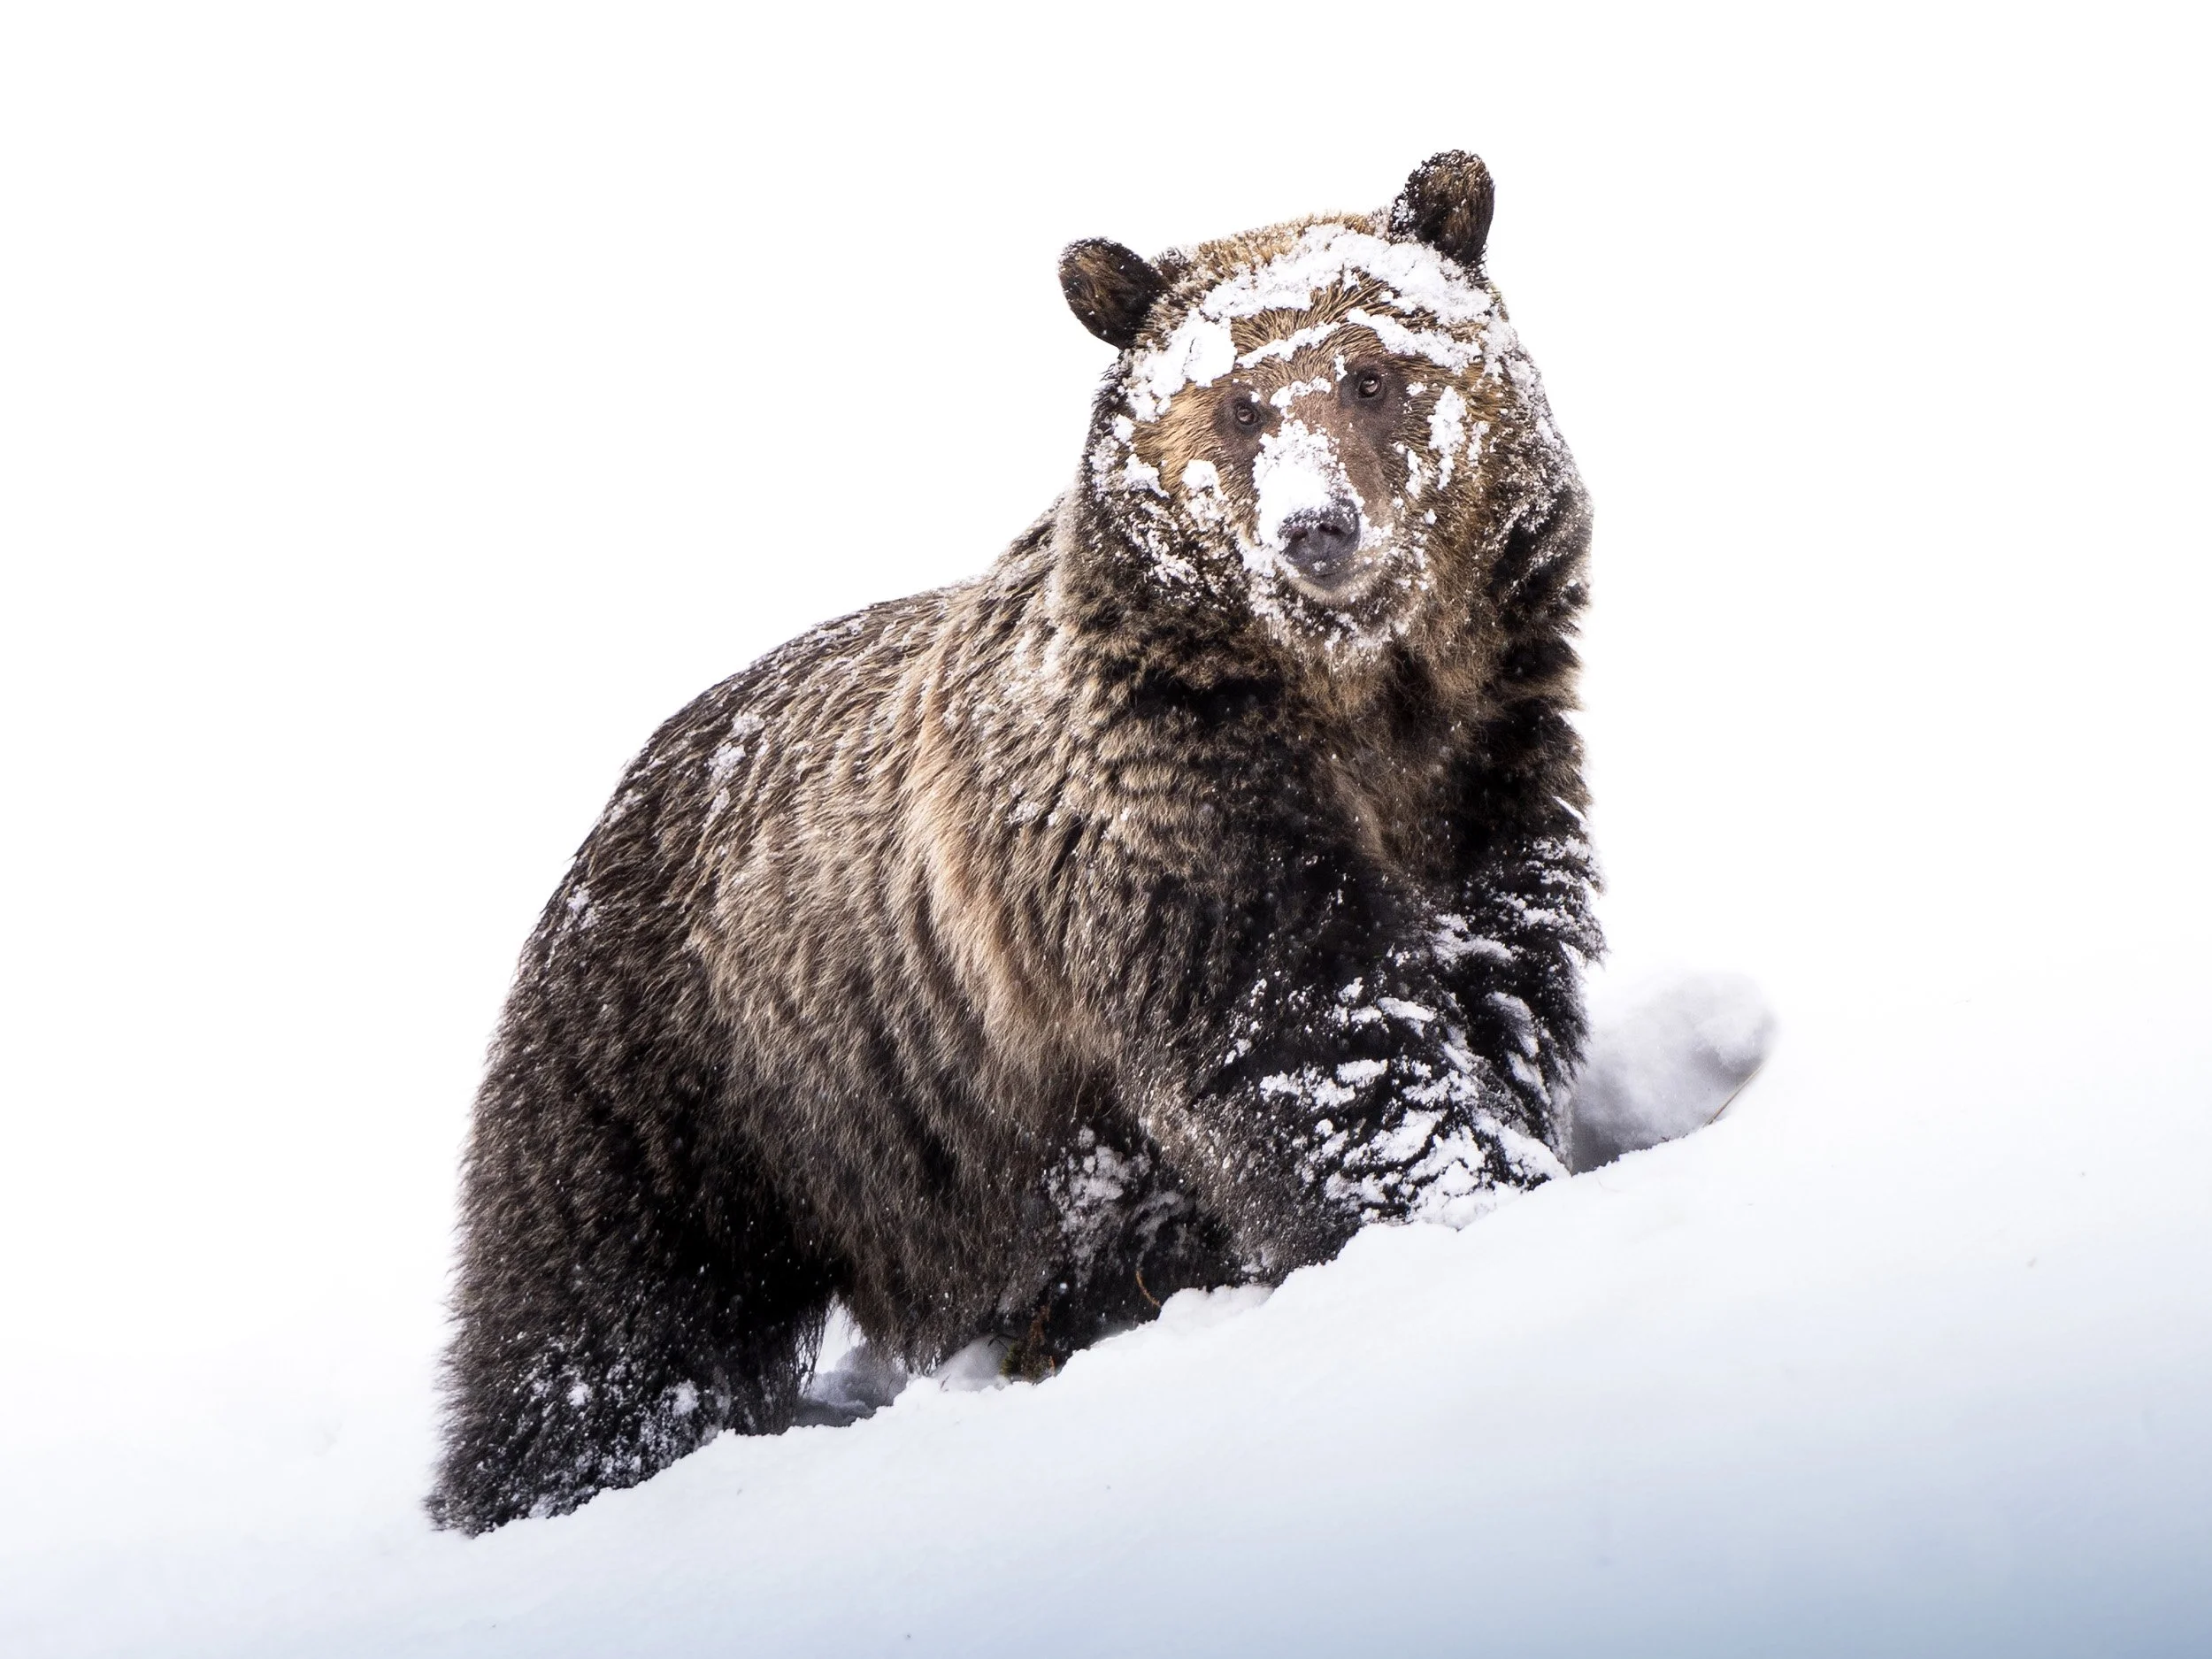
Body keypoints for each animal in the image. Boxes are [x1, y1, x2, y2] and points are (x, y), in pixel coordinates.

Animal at [429, 151, 1600, 1534]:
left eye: (1373, 371)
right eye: (1236, 402)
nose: (1317, 526)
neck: (1361, 701)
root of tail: (623, 787)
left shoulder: (1489, 787)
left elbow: (1490, 996)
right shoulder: (1176, 833)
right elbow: (1312, 1049)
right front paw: (1457, 1205)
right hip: (693, 1080)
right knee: (600, 1313)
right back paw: (550, 1479)